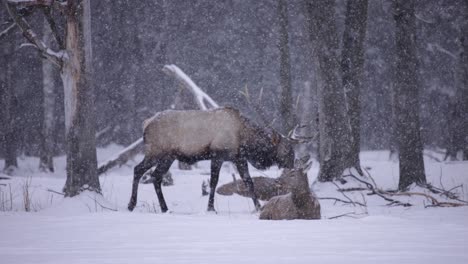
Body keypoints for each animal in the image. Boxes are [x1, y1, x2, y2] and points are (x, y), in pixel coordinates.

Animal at [128, 106, 296, 211]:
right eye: (287, 149)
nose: (292, 166)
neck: (244, 138)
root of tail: (146, 124)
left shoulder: (238, 158)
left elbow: (249, 182)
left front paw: (258, 207)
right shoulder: (218, 155)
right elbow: (214, 182)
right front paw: (210, 208)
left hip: (168, 157)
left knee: (156, 176)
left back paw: (164, 208)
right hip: (156, 152)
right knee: (138, 170)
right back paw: (131, 205)